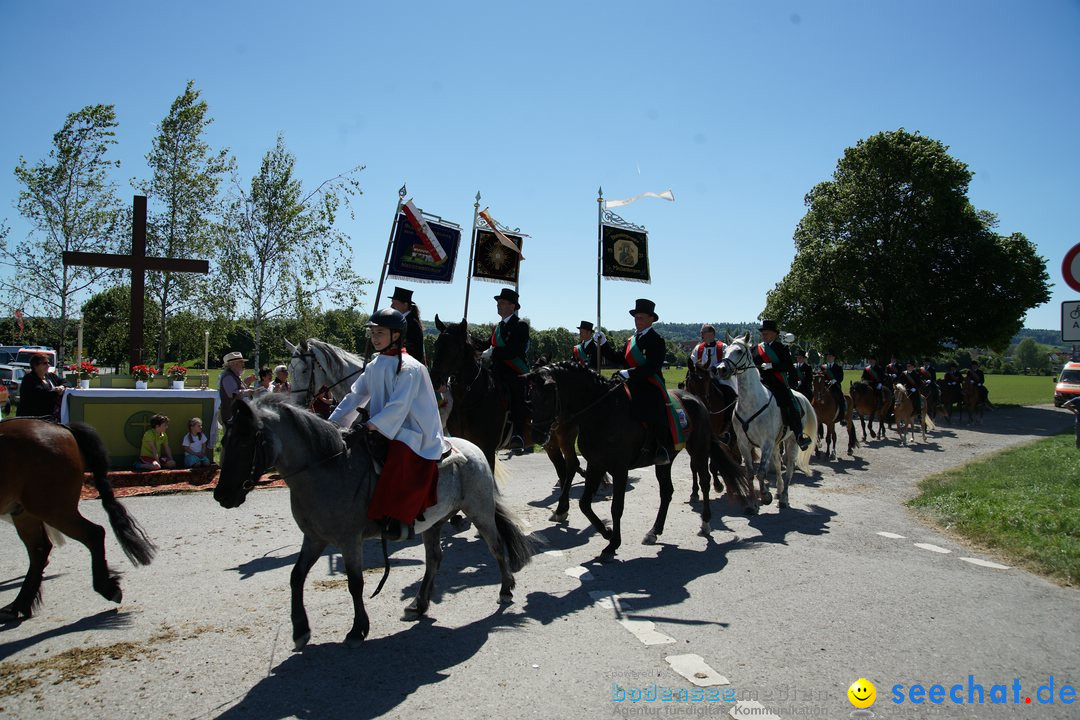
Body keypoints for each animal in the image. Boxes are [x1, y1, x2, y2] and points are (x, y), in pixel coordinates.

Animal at [0, 418, 157, 621]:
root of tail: (62, 427)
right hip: (26, 511)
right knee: (39, 549)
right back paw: (19, 605)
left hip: (52, 508)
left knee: (92, 533)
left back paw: (106, 588)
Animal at [212, 397, 533, 651]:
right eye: (225, 440)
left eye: (245, 440)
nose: (222, 495)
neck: (328, 469)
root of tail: (474, 449)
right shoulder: (314, 538)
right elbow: (296, 576)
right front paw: (301, 629)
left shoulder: (349, 540)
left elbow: (355, 583)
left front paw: (357, 630)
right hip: (433, 523)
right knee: (434, 559)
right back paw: (420, 604)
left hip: (479, 512)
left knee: (496, 547)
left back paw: (505, 589)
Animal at [721, 334, 812, 509]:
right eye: (724, 351)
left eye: (739, 351)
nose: (721, 369)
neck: (751, 402)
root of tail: (800, 396)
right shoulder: (743, 443)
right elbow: (750, 473)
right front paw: (751, 504)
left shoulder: (766, 442)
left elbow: (761, 472)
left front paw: (765, 496)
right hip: (777, 444)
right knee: (777, 464)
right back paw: (779, 492)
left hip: (791, 441)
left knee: (789, 468)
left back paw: (784, 498)